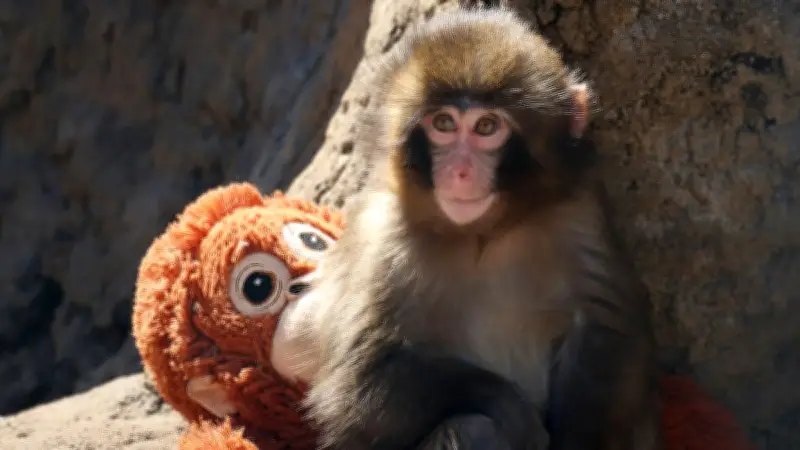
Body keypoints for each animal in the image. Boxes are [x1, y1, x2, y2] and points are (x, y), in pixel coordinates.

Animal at [277, 6, 664, 450]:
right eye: (444, 123)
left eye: (486, 127)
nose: (460, 172)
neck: (483, 234)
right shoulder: (383, 236)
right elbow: (358, 387)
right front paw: (510, 407)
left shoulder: (578, 213)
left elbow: (607, 333)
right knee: (472, 427)